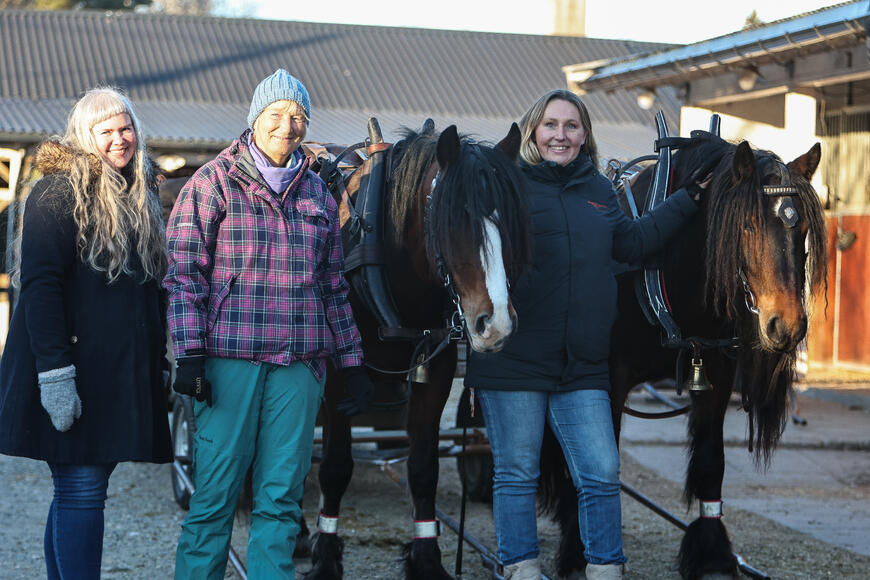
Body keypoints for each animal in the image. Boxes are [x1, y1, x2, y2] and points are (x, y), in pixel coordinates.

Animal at [310, 120, 536, 576]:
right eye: (455, 222)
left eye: (509, 224)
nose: (496, 324)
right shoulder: (340, 375)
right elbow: (335, 465)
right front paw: (325, 557)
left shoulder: (437, 370)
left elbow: (423, 467)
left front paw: (427, 558)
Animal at [540, 129, 832, 576]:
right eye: (747, 225)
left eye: (799, 229)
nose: (786, 325)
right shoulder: (607, 379)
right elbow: (593, 459)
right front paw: (577, 551)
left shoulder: (717, 374)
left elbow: (712, 462)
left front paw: (711, 552)